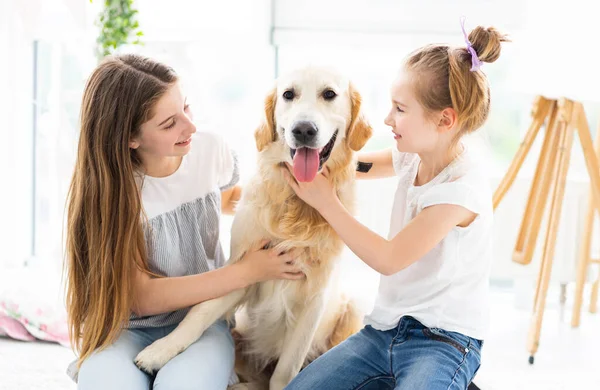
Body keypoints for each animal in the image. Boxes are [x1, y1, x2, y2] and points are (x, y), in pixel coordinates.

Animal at [134, 68, 372, 390]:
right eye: (288, 94)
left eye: (329, 94)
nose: (303, 130)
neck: (295, 204)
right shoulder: (243, 267)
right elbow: (200, 312)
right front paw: (160, 350)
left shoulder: (315, 296)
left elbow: (286, 368)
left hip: (352, 306)